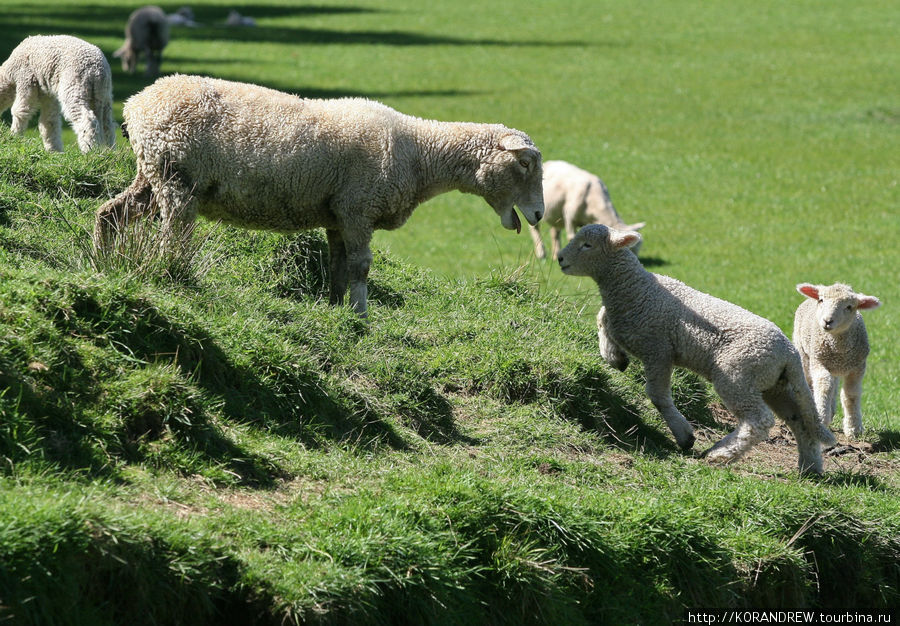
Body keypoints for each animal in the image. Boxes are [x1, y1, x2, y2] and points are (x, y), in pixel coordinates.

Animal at [93, 75, 540, 314]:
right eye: (524, 164)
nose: (537, 214)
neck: (419, 153)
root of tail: (136, 104)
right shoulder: (359, 209)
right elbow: (361, 267)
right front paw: (361, 315)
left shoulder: (339, 216)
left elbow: (338, 268)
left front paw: (337, 308)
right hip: (176, 178)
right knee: (172, 236)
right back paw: (171, 274)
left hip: (152, 173)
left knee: (111, 212)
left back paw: (101, 260)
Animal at [564, 224, 836, 472]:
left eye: (587, 245)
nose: (560, 259)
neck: (635, 289)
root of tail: (789, 353)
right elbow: (602, 317)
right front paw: (613, 356)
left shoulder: (658, 350)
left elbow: (657, 394)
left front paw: (684, 436)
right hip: (774, 385)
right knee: (800, 420)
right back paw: (809, 467)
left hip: (738, 375)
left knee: (759, 420)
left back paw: (720, 454)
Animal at [796, 280, 880, 436]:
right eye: (821, 300)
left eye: (849, 307)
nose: (827, 321)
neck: (839, 350)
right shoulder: (818, 362)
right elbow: (824, 385)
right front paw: (822, 416)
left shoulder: (857, 368)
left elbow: (851, 394)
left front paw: (853, 428)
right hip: (804, 353)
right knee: (811, 381)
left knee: (834, 384)